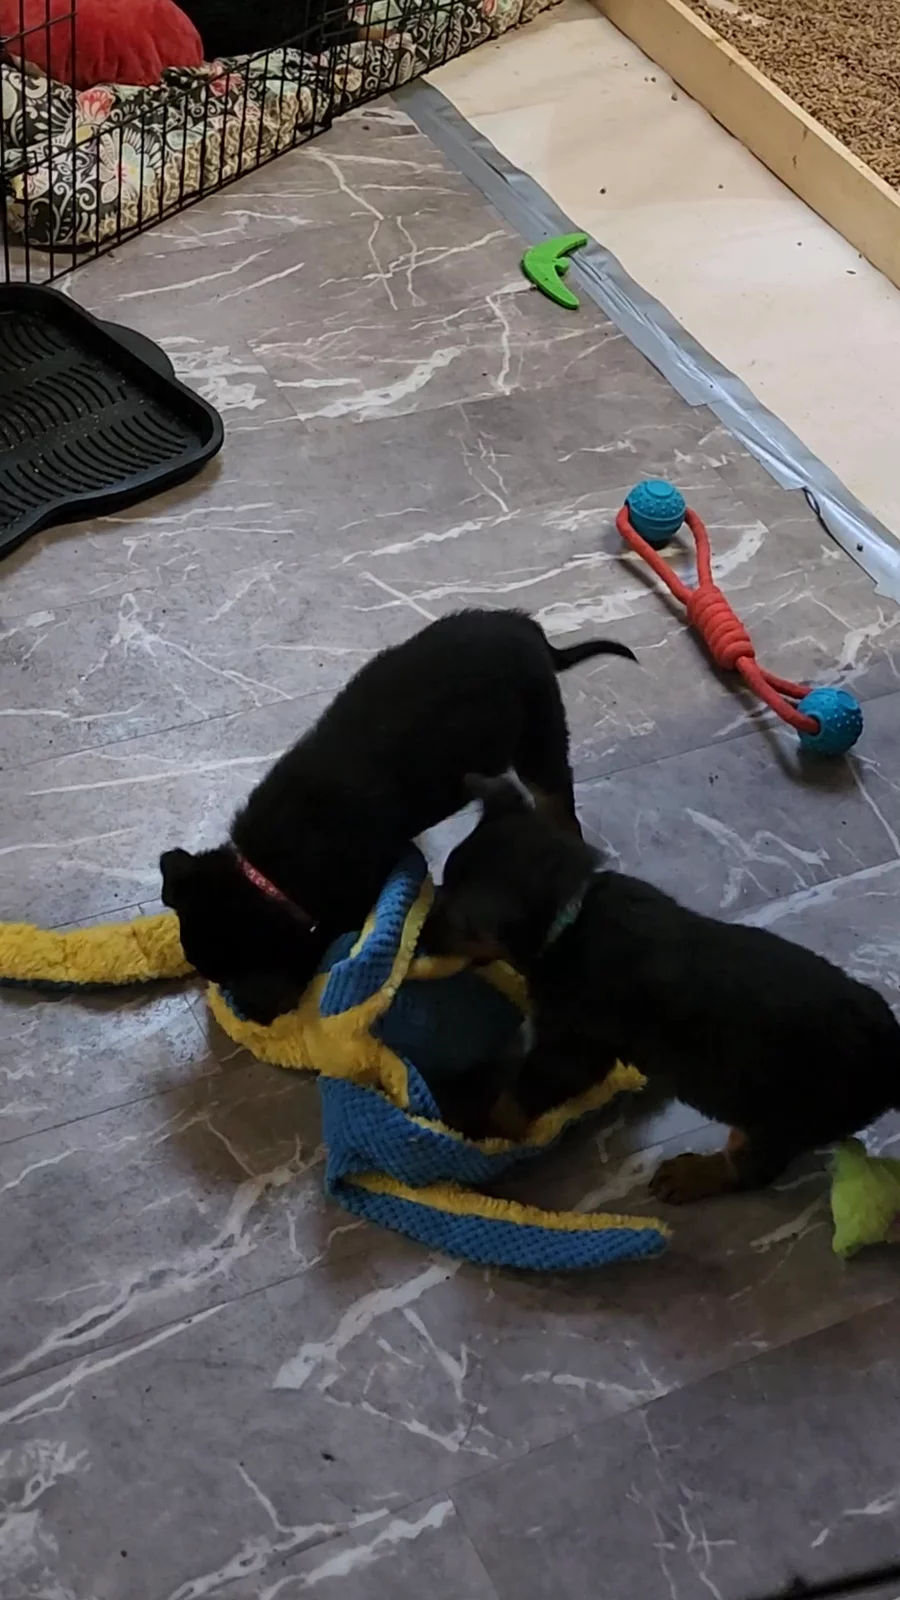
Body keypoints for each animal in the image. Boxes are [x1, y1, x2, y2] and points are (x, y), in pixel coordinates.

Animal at [160, 609, 634, 1025]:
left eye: (243, 966)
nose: (251, 1018)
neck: (270, 872)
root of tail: (525, 625)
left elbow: (330, 932)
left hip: (539, 733)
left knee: (558, 798)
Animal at [425, 776, 900, 1199]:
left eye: (458, 923)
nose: (419, 938)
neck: (572, 914)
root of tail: (888, 1054)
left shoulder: (574, 1047)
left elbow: (513, 1099)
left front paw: (476, 1131)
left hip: (784, 1119)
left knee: (752, 1169)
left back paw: (694, 1176)